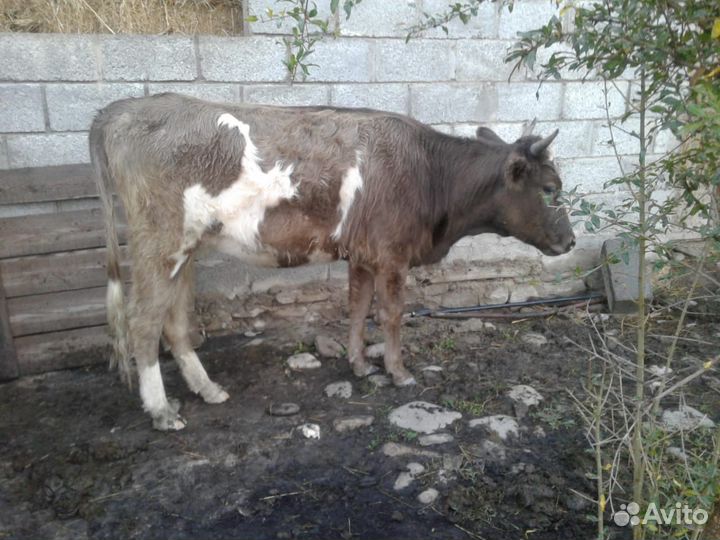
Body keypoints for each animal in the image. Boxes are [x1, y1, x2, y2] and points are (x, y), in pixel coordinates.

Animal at [89, 93, 575, 431]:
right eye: (551, 189)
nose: (571, 240)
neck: (429, 173)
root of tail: (124, 107)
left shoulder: (362, 254)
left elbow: (357, 308)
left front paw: (359, 364)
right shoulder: (392, 255)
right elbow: (391, 314)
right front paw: (398, 372)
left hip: (184, 250)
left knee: (174, 322)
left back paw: (208, 389)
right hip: (160, 242)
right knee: (143, 322)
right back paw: (161, 410)